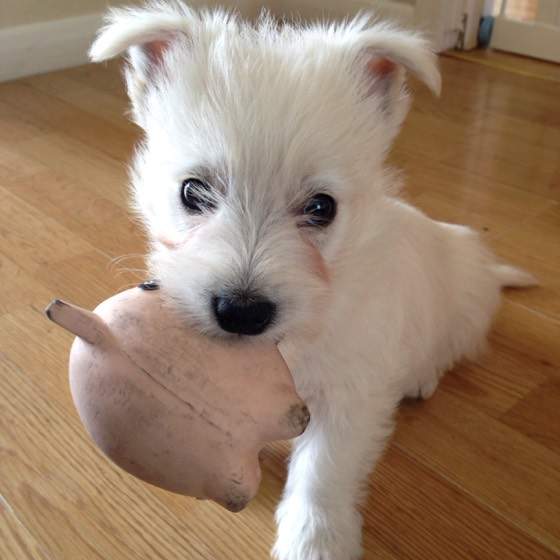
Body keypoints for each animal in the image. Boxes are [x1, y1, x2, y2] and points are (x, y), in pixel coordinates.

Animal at [89, 2, 536, 556]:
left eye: (322, 207)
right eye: (192, 191)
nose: (242, 313)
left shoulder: (348, 391)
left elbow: (324, 470)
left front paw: (315, 540)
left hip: (464, 302)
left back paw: (422, 377)